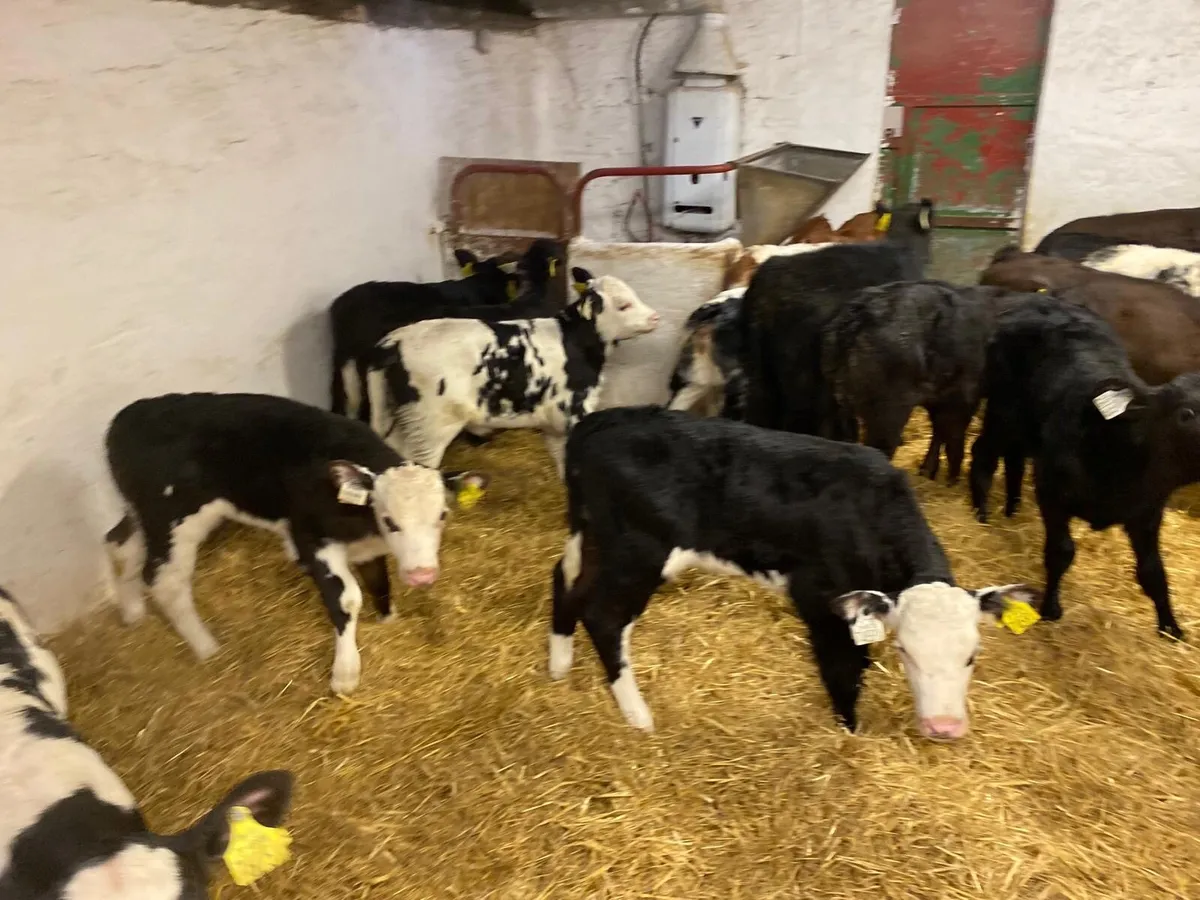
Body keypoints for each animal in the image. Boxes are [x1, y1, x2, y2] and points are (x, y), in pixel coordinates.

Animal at [104, 392, 487, 695]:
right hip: (173, 519)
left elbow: (379, 582)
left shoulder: (367, 549)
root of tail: (130, 415)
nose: (422, 574)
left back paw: (132, 611)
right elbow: (347, 599)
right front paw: (345, 672)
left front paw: (389, 622)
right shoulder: (311, 539)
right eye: (390, 520)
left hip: (142, 513)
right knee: (166, 582)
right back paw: (207, 648)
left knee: (119, 543)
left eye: (442, 515)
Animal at [364, 267, 660, 478]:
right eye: (623, 305)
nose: (655, 317)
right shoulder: (575, 408)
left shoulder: (552, 420)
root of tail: (395, 339)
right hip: (431, 424)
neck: (576, 340)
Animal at [547, 407, 1038, 739]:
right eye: (906, 652)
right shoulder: (822, 596)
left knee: (566, 581)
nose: (944, 727)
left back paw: (559, 664)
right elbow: (844, 667)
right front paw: (849, 728)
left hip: (596, 539)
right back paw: (638, 715)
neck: (872, 511)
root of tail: (599, 423)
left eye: (972, 655)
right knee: (604, 616)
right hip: (639, 551)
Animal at [823, 281, 1033, 484]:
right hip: (887, 412)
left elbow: (939, 433)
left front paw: (928, 471)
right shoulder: (961, 398)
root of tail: (858, 312)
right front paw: (951, 480)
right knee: (880, 447)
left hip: (838, 405)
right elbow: (953, 440)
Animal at [968, 298, 1200, 639]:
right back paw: (981, 515)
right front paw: (1050, 608)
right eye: (1186, 414)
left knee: (1014, 459)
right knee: (983, 453)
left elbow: (1153, 571)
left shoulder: (1146, 513)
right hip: (1002, 411)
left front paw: (1170, 627)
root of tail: (1036, 299)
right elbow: (1061, 551)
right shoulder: (1052, 491)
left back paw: (1011, 508)